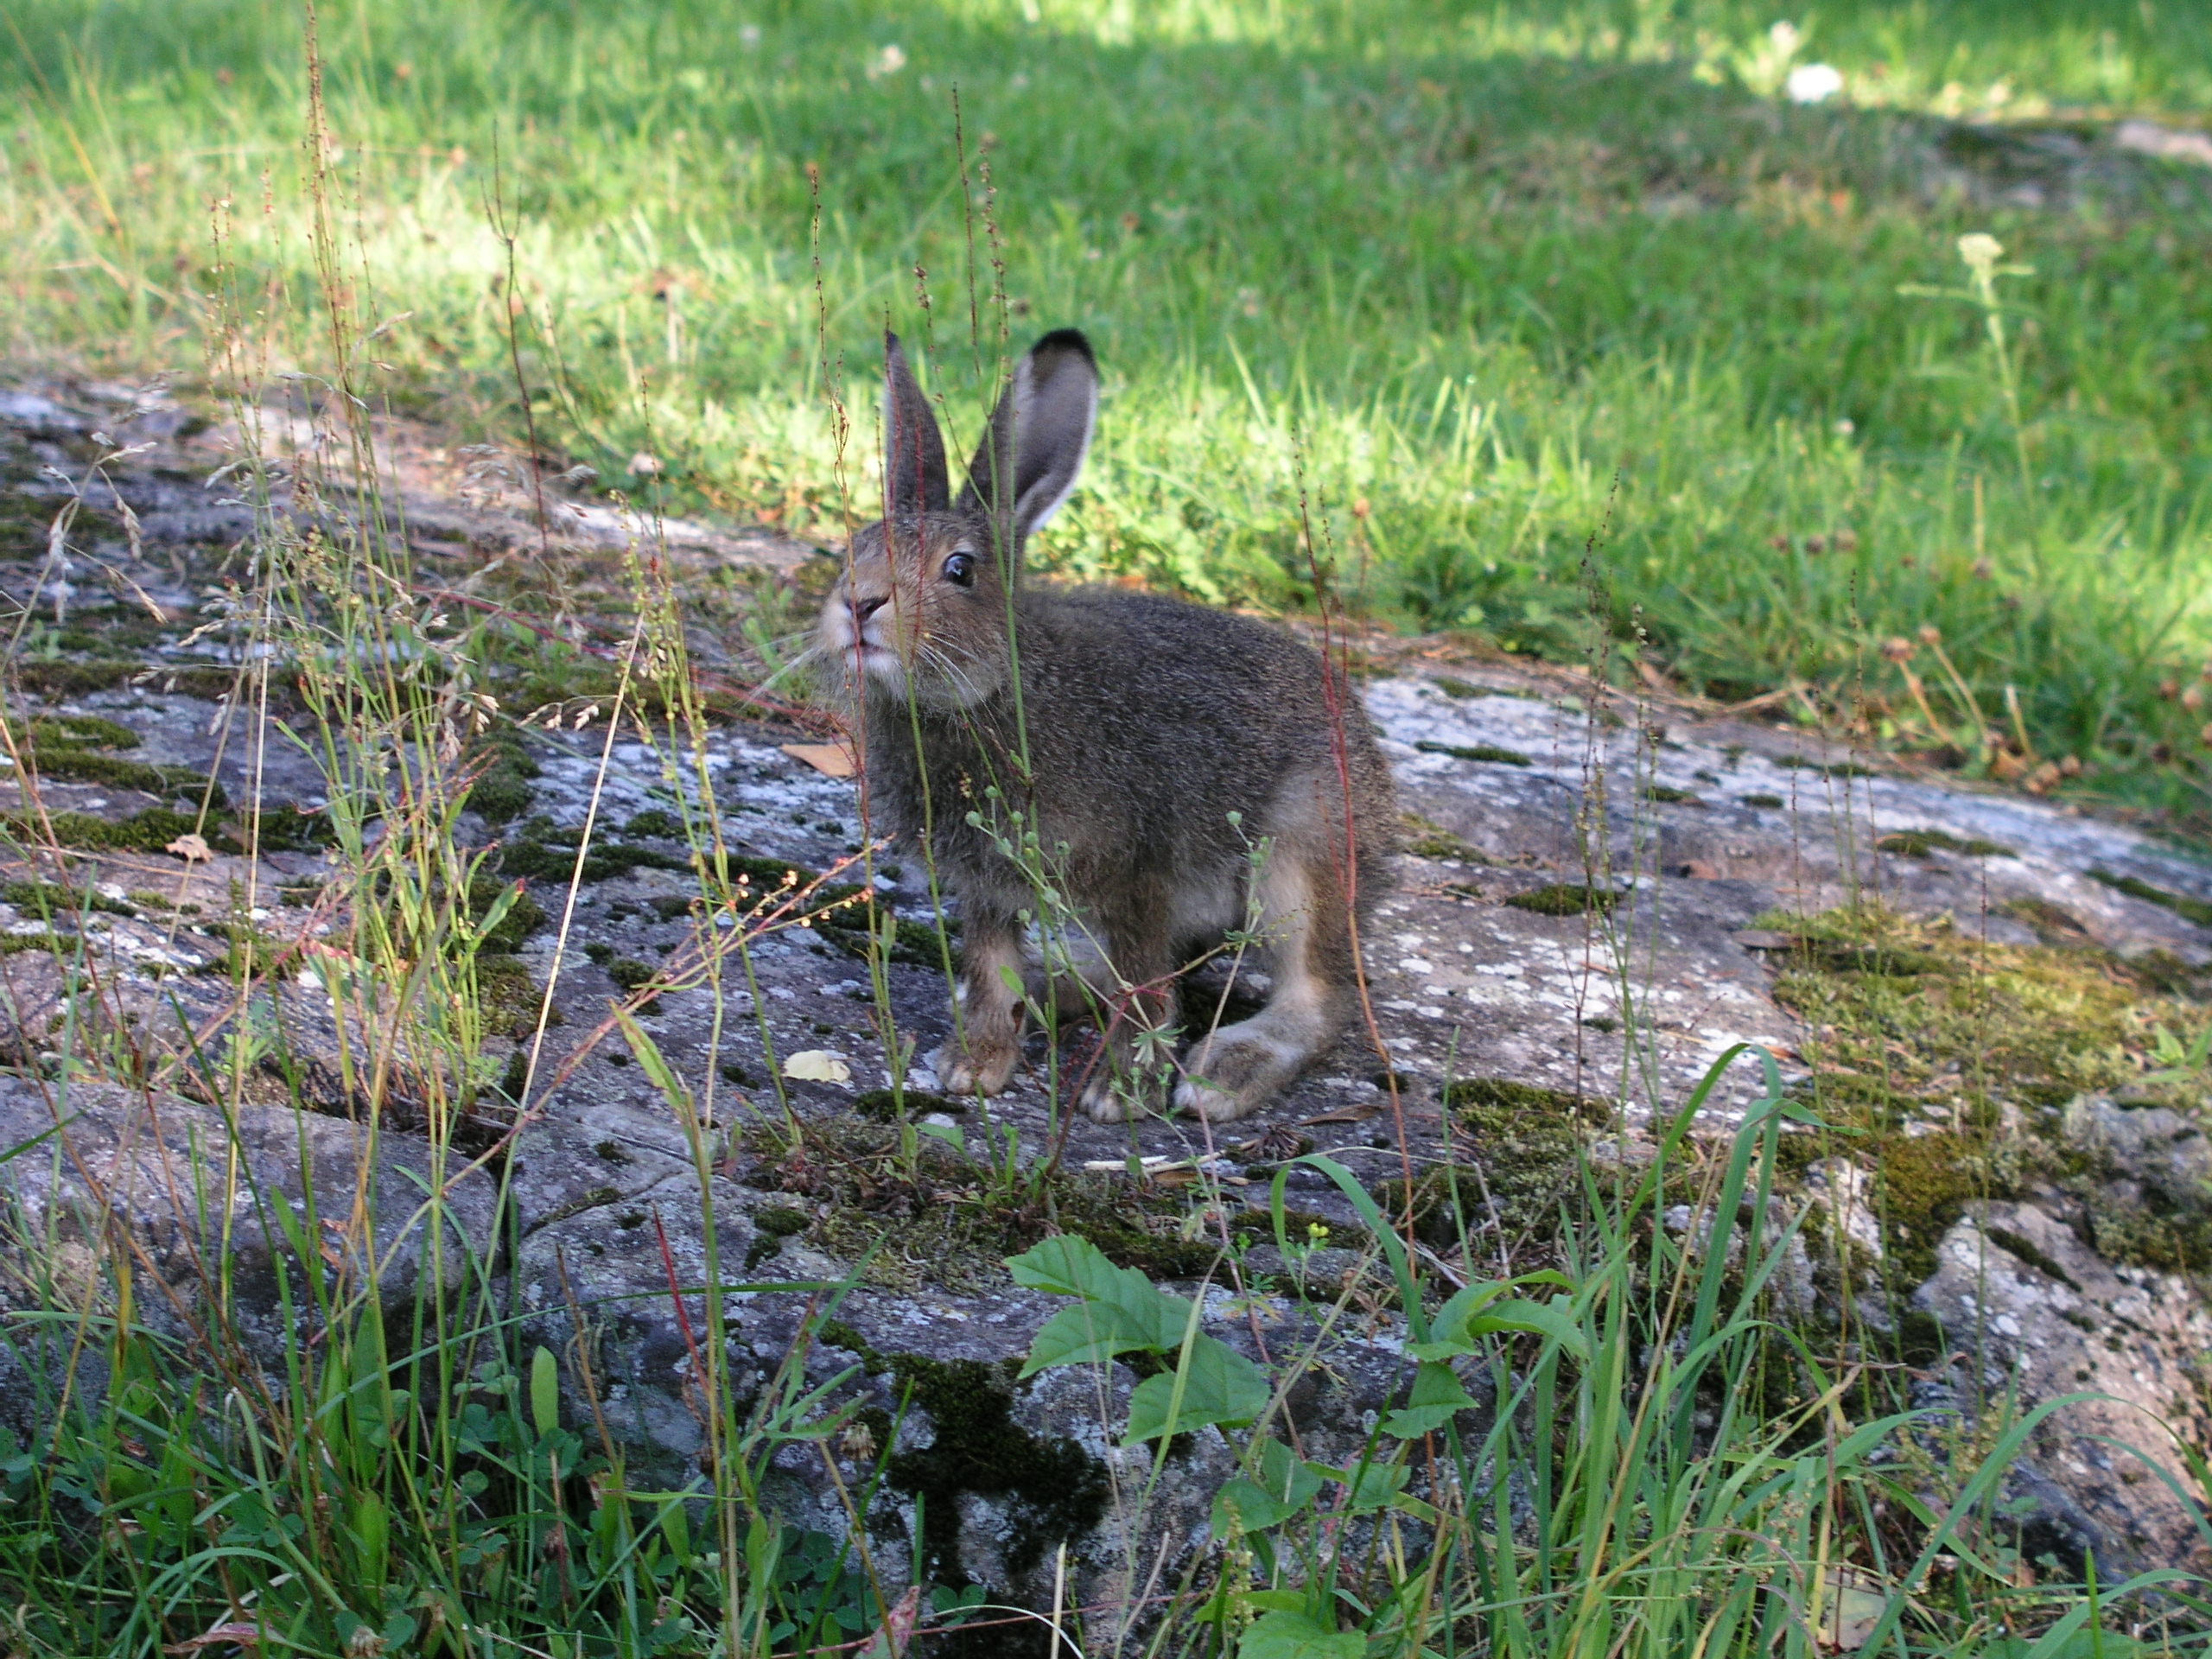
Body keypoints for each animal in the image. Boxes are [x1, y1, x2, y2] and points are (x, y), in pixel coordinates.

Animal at [816, 327, 1395, 1122]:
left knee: (1318, 992)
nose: (859, 604)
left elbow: (1144, 980)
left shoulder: (1140, 870)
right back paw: (1044, 992)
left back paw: (1224, 1071)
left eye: (960, 570)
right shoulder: (988, 883)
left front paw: (1120, 1094)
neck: (1004, 689)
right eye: (857, 546)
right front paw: (976, 1062)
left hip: (1299, 851)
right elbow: (991, 964)